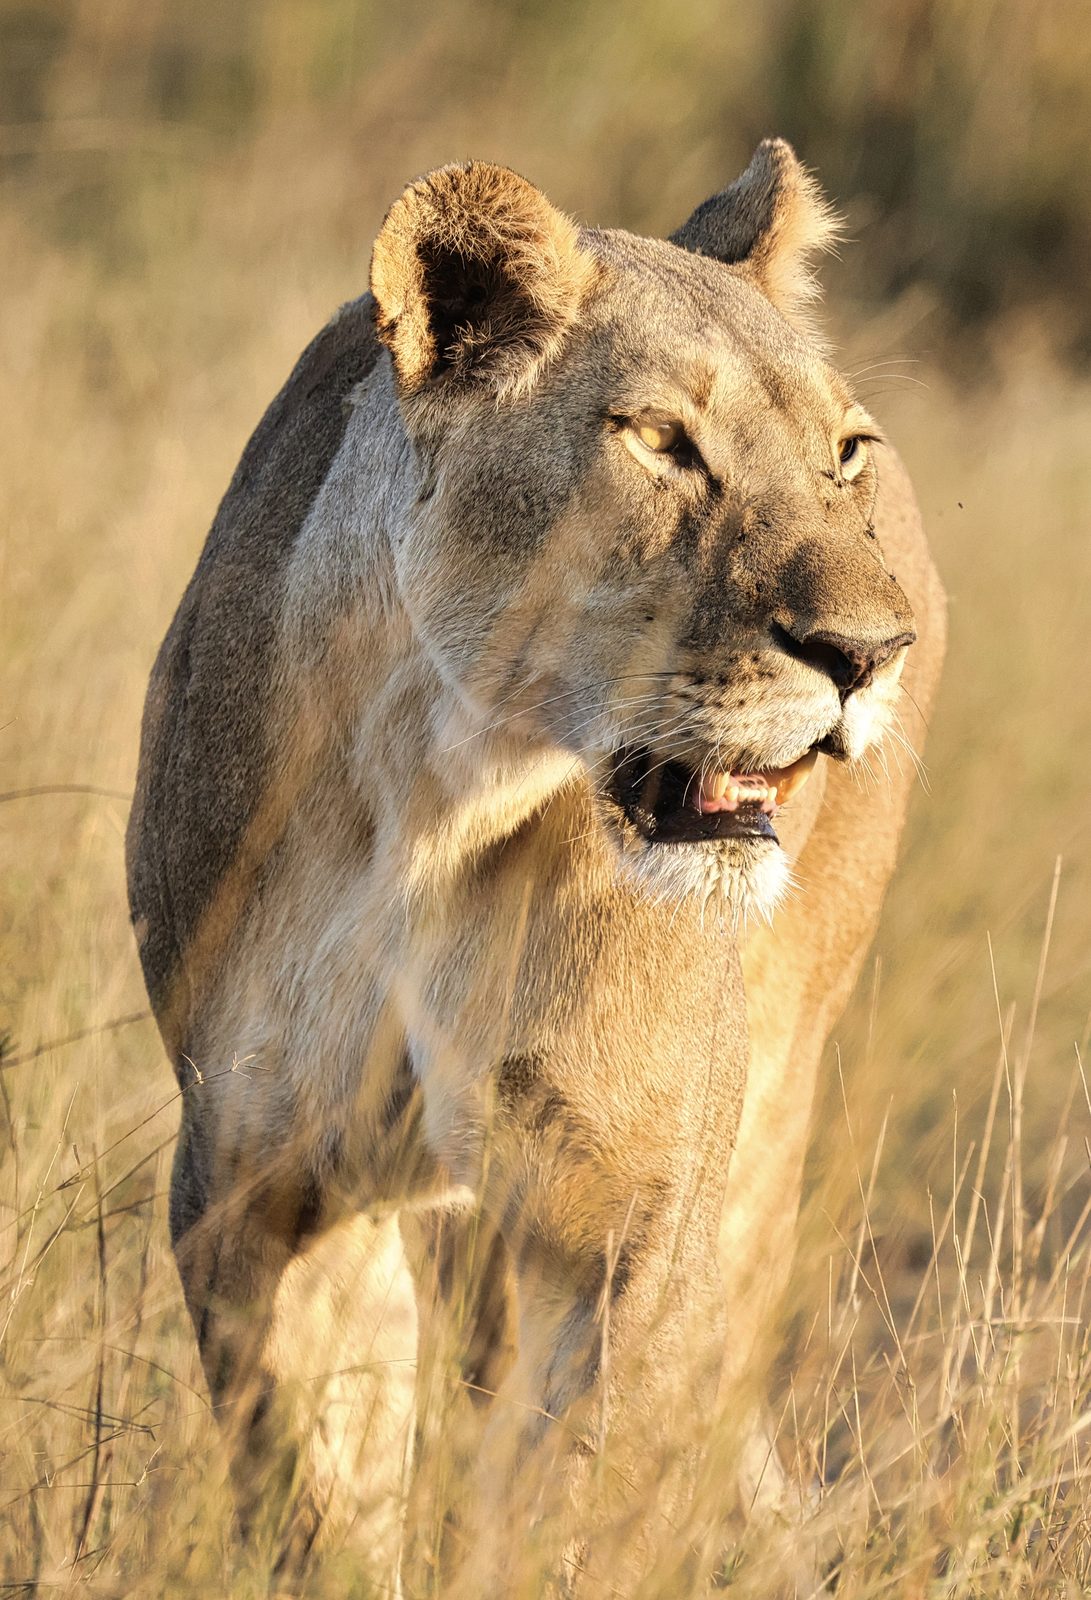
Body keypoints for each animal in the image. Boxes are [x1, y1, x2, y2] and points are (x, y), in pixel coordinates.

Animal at [127, 140, 944, 1593]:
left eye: (844, 453)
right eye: (661, 444)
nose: (865, 653)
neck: (436, 796)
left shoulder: (634, 1203)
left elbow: (579, 1496)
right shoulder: (247, 1174)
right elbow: (311, 1490)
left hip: (769, 1104)